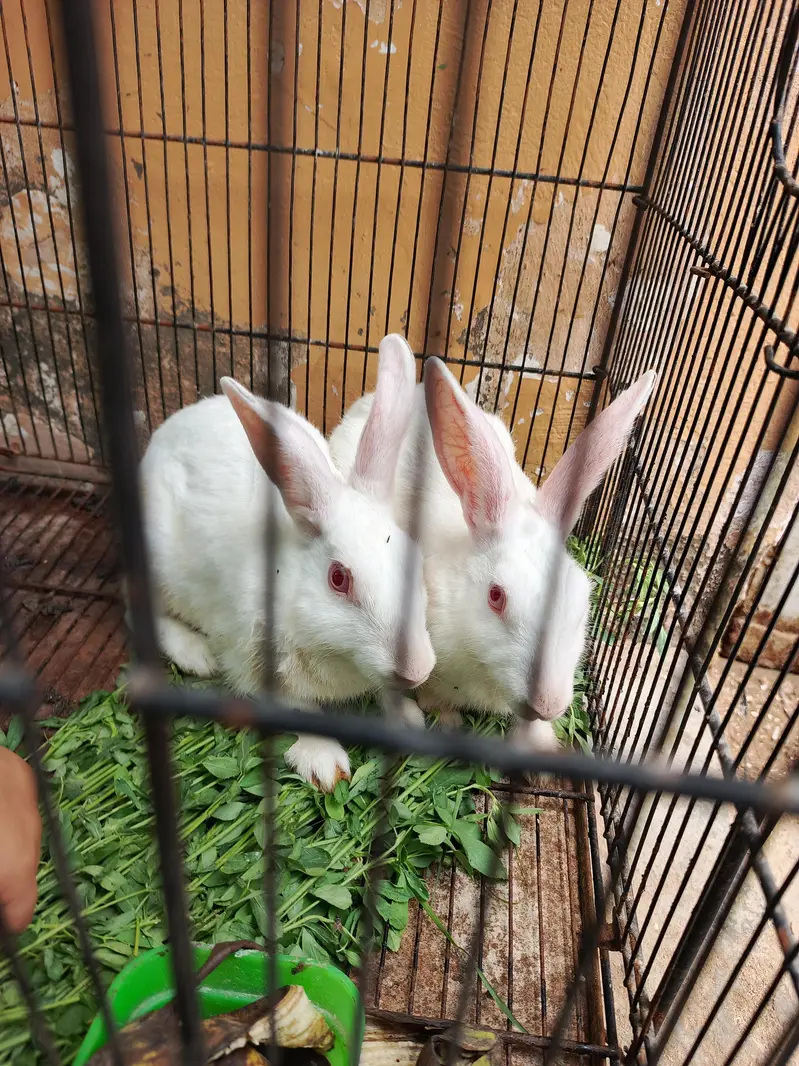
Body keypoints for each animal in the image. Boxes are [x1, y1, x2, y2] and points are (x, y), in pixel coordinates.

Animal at [137, 334, 436, 791]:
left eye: (415, 563)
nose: (418, 668)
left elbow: (387, 691)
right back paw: (196, 655)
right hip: (156, 566)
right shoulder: (258, 665)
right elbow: (302, 711)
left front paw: (408, 721)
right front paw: (325, 764)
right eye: (338, 578)